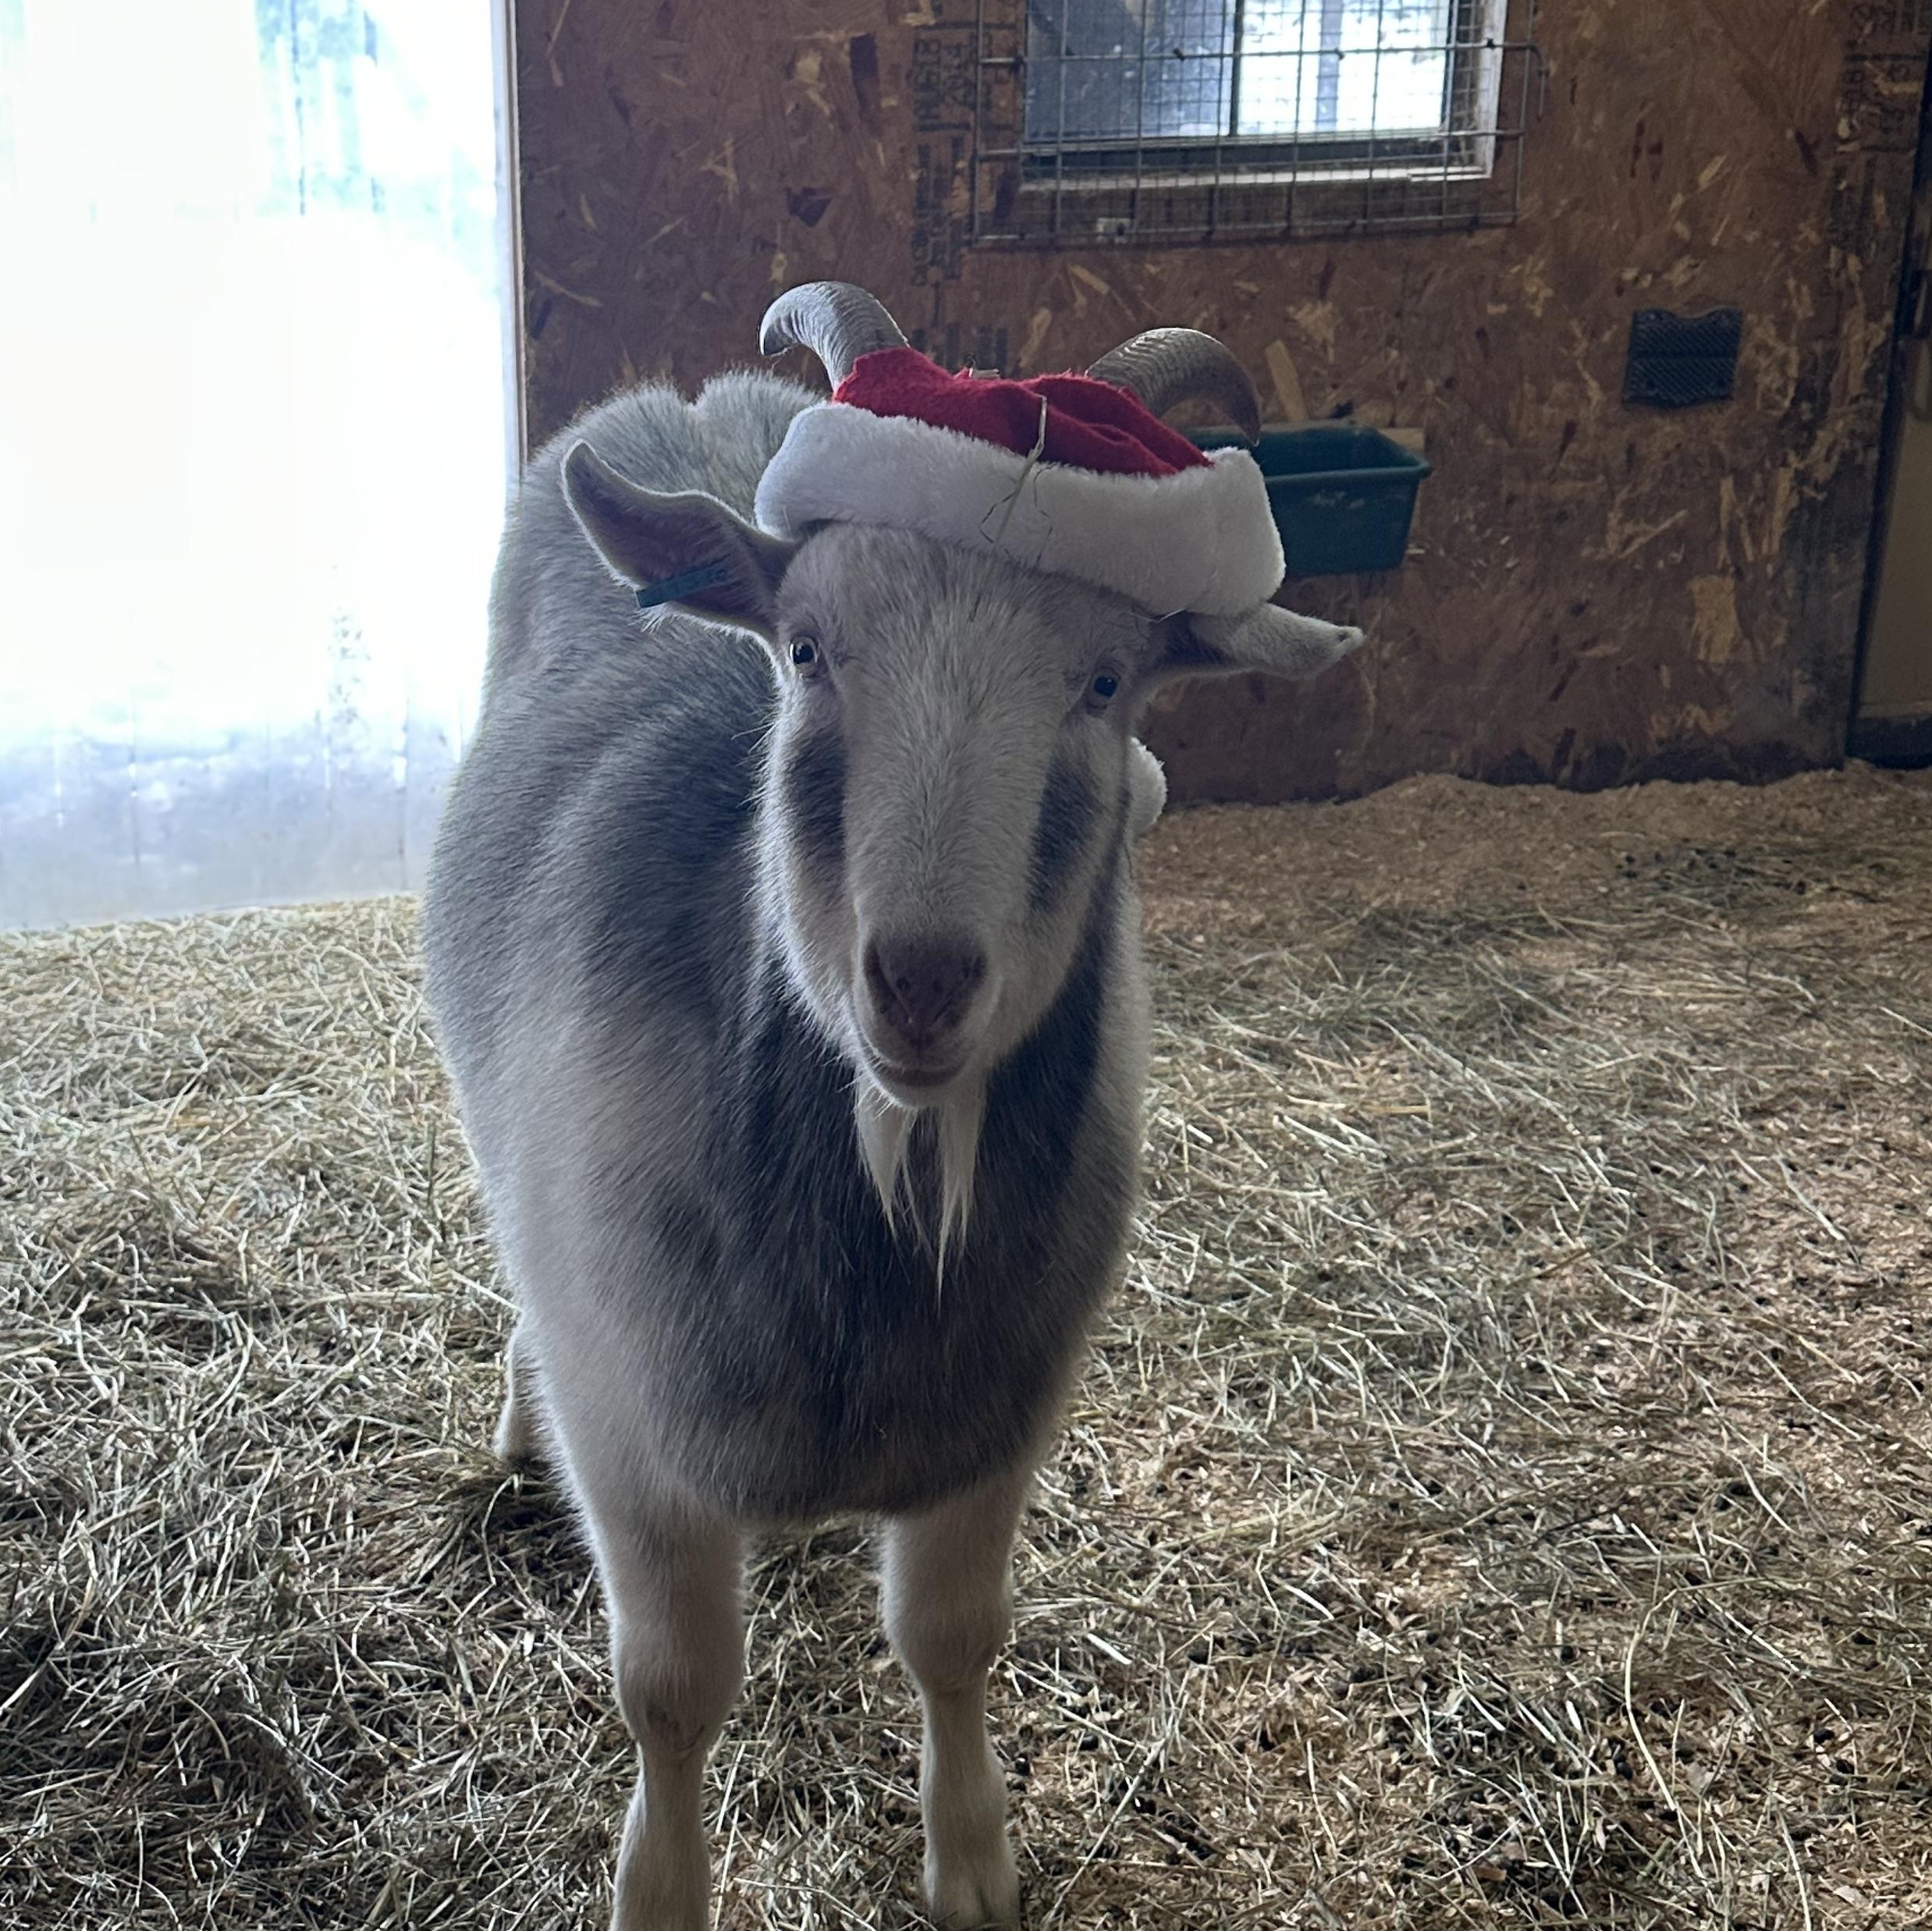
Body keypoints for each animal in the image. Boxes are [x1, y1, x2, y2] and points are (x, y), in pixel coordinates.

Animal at [422, 282, 1361, 1929]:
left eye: (1106, 682)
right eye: (807, 649)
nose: (920, 981)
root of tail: (696, 400)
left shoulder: (994, 1417)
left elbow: (951, 1641)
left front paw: (972, 1858)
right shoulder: (636, 1429)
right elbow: (670, 1691)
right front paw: (660, 1890)